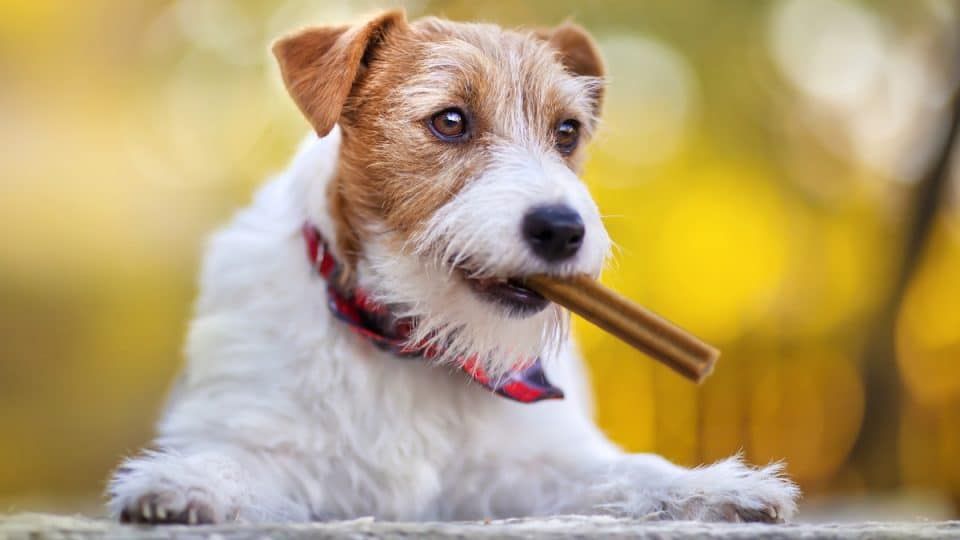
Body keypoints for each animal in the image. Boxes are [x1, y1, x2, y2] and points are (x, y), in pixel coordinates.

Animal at [107, 11, 804, 524]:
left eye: (567, 132)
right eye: (449, 120)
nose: (562, 229)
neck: (411, 340)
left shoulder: (530, 464)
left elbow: (631, 471)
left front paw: (718, 488)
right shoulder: (273, 446)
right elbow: (231, 461)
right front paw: (180, 483)